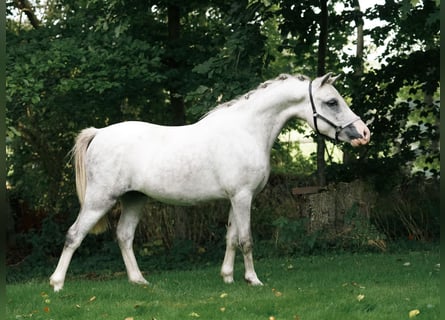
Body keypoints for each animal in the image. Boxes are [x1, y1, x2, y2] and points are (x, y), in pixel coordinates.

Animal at [48, 74, 370, 292]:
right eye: (332, 102)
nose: (363, 133)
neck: (247, 131)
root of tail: (99, 132)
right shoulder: (243, 197)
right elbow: (246, 239)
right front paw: (253, 280)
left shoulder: (235, 199)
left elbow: (231, 238)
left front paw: (227, 277)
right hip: (100, 199)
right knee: (74, 235)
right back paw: (57, 284)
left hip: (134, 198)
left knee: (125, 236)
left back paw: (139, 281)